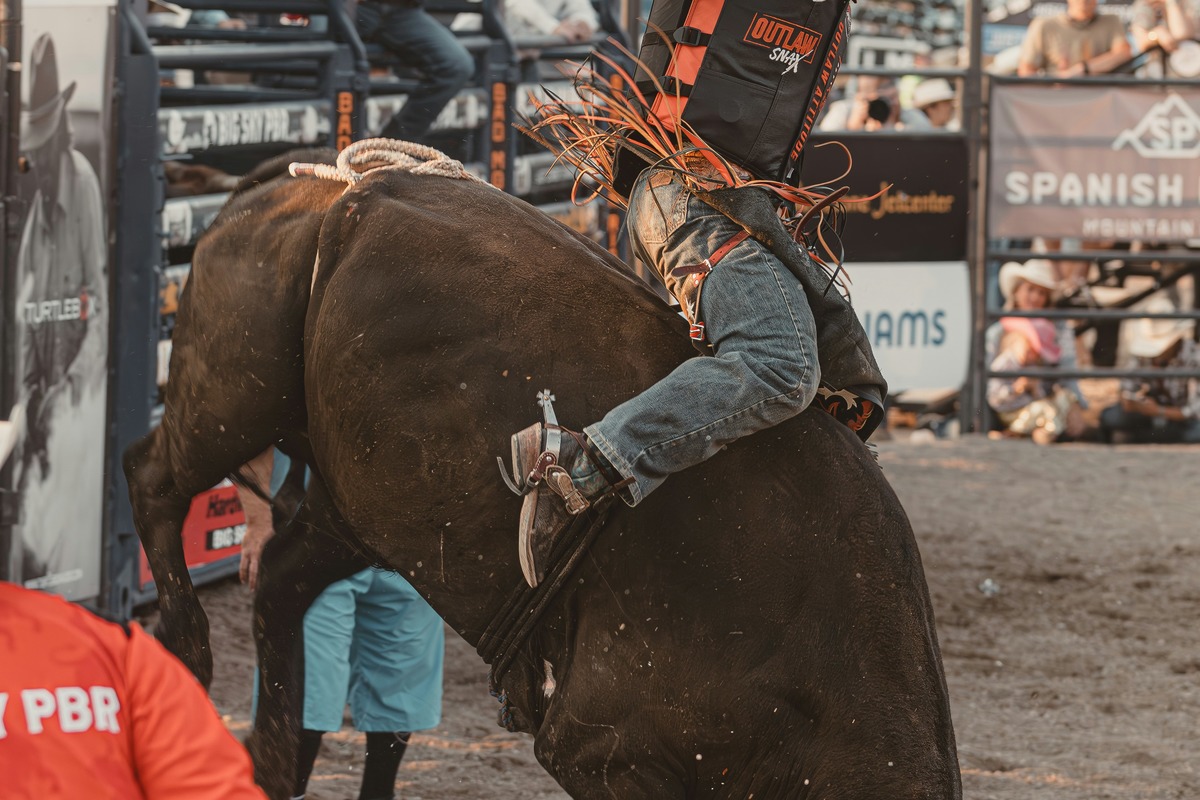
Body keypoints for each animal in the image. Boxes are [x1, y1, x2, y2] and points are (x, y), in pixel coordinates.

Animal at [121, 149, 960, 800]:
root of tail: (318, 189)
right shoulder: (604, 749)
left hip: (354, 505)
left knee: (281, 579)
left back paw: (265, 761)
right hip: (233, 395)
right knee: (152, 475)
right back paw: (185, 645)